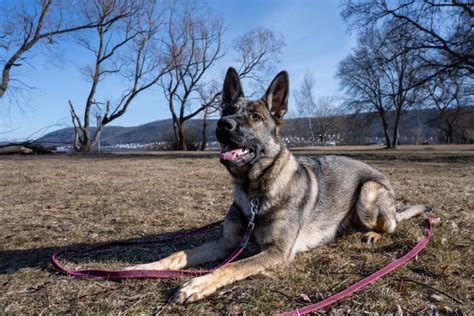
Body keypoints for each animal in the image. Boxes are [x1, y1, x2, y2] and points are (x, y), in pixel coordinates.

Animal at [128, 67, 432, 304]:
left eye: (255, 117)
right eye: (228, 110)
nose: (222, 124)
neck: (255, 191)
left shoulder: (276, 251)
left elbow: (230, 267)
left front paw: (197, 285)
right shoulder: (226, 243)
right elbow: (178, 254)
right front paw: (145, 266)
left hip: (368, 192)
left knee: (390, 225)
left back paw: (373, 234)